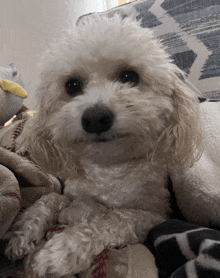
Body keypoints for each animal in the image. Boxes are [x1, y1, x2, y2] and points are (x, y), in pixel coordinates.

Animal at [4, 14, 208, 276]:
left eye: (129, 76)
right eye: (72, 85)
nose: (95, 118)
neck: (109, 165)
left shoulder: (153, 215)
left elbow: (112, 219)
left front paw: (61, 251)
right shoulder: (72, 193)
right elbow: (49, 199)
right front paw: (21, 234)